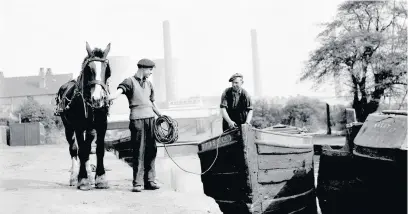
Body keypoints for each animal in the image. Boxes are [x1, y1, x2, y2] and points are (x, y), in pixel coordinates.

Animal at [55, 42, 112, 191]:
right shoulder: (78, 127)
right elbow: (81, 151)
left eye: (107, 70)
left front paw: (100, 179)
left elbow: (98, 150)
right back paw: (74, 178)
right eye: (88, 69)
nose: (97, 99)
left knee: (87, 146)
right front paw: (83, 179)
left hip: (90, 129)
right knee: (74, 149)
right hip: (68, 128)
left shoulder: (102, 126)